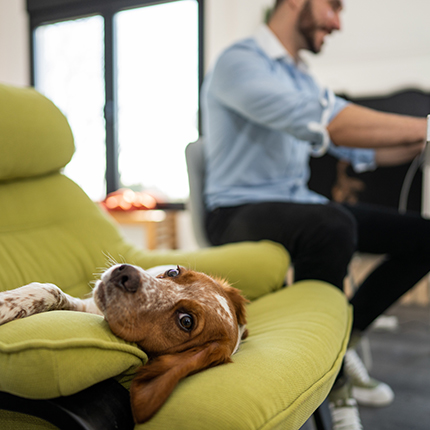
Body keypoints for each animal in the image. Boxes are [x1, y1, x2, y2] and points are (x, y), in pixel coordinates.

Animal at [0, 264, 249, 422]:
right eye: (173, 271)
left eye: (186, 321)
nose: (127, 272)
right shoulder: (84, 304)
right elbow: (51, 289)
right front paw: (7, 302)